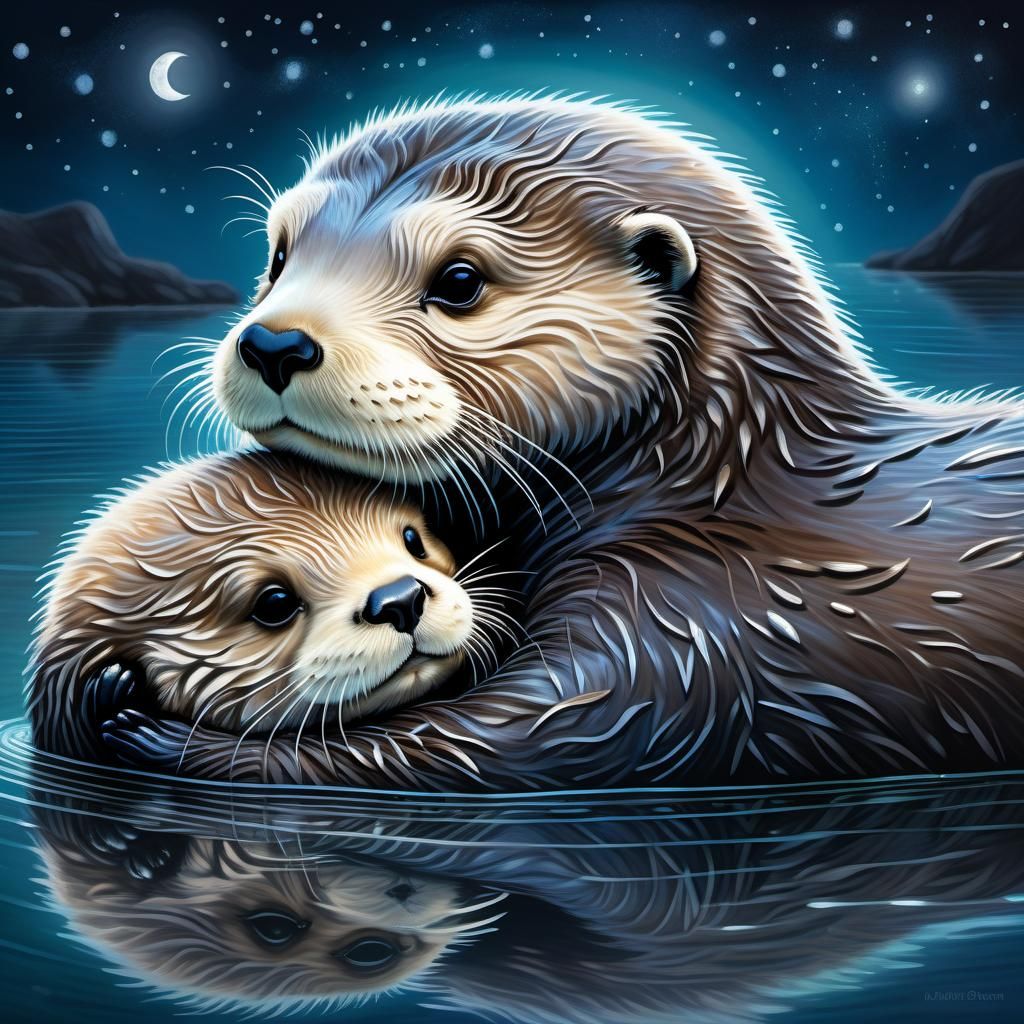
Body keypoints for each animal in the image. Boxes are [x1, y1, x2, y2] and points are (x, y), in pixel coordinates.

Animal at [101, 96, 1024, 787]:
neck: (725, 489)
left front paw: (154, 729)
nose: (276, 343)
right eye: (279, 254)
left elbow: (521, 740)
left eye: (459, 281)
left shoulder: (698, 634)